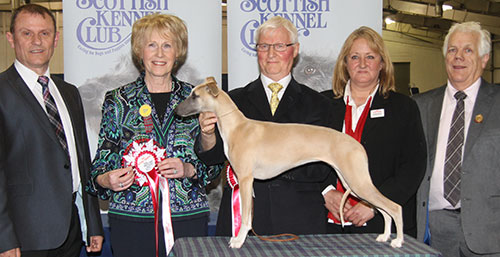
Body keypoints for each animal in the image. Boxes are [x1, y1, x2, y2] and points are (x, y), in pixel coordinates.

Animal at [174, 76, 404, 248]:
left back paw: (398, 241)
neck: (237, 126)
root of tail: (358, 146)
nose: (176, 111)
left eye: (195, 95)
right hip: (353, 183)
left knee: (394, 207)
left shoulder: (246, 179)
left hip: (357, 182)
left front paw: (238, 240)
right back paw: (384, 236)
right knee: (384, 210)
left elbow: (247, 217)